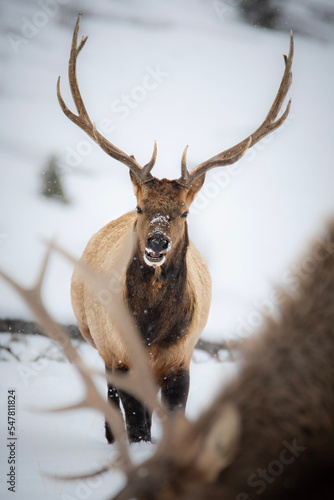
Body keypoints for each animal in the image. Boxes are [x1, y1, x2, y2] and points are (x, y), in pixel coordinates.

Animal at [56, 13, 294, 444]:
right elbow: (137, 426)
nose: (156, 241)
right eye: (140, 206)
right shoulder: (120, 355)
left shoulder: (180, 361)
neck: (150, 331)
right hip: (94, 339)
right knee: (111, 395)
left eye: (184, 213)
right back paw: (110, 438)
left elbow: (172, 422)